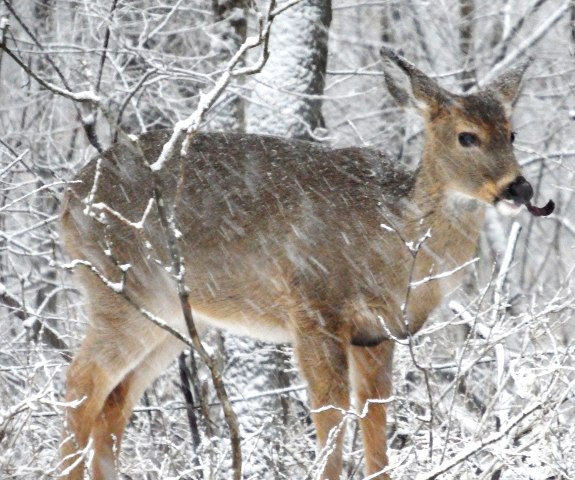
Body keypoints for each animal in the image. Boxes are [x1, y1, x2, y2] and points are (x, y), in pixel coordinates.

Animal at [59, 49, 552, 480]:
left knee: (114, 403)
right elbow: (330, 415)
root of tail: (67, 199)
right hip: (121, 289)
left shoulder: (378, 333)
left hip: (167, 320)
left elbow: (374, 419)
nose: (520, 188)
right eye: (466, 135)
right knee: (81, 382)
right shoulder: (314, 308)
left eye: (511, 133)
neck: (394, 244)